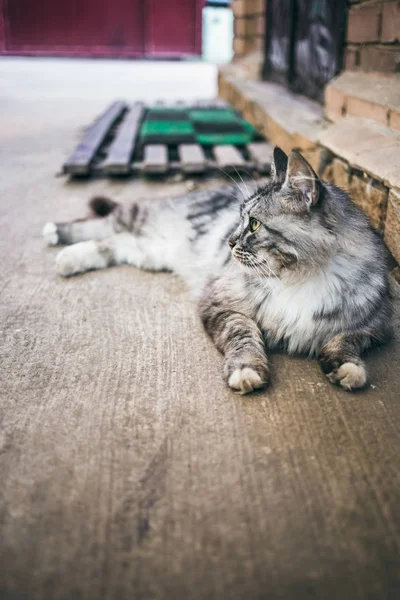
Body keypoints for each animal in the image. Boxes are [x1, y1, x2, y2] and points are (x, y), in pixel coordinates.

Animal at [43, 148, 390, 394]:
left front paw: (347, 368)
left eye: (254, 224)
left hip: (147, 251)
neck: (298, 278)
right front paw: (247, 371)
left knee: (112, 242)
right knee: (102, 222)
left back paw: (70, 257)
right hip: (140, 218)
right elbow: (244, 336)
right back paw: (57, 240)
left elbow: (345, 339)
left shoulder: (377, 322)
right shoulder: (222, 303)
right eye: (240, 219)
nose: (229, 241)